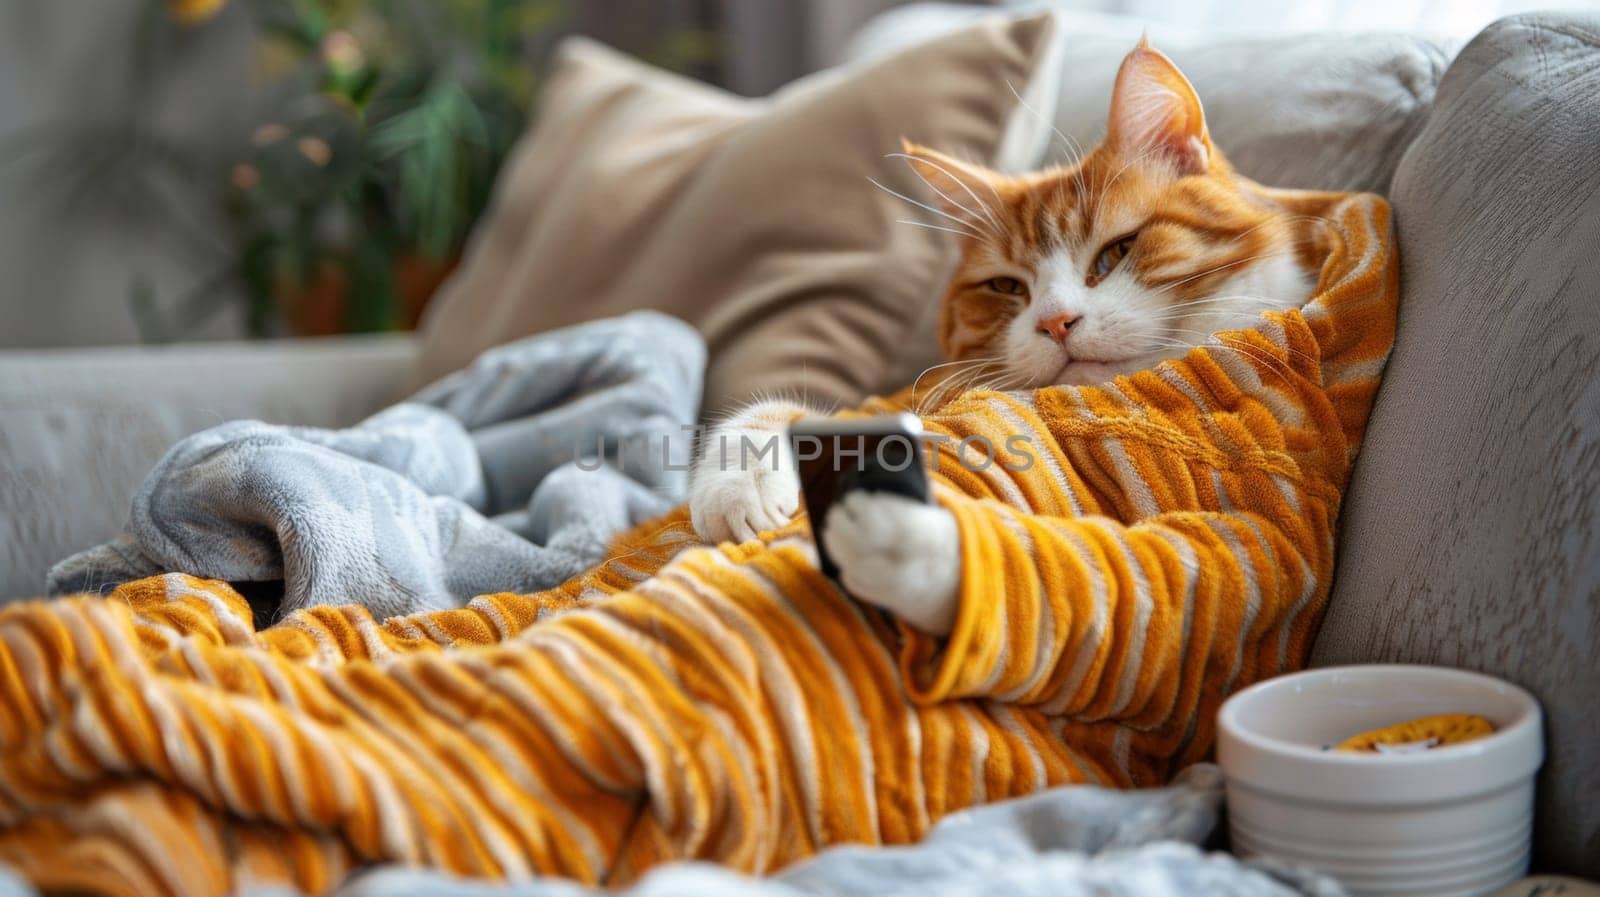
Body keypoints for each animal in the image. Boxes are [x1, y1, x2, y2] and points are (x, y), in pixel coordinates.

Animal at [688, 40, 1337, 629]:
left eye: (1117, 251)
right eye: (1006, 287)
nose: (1055, 322)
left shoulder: (1261, 528)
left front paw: (904, 539)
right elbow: (771, 414)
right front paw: (741, 482)